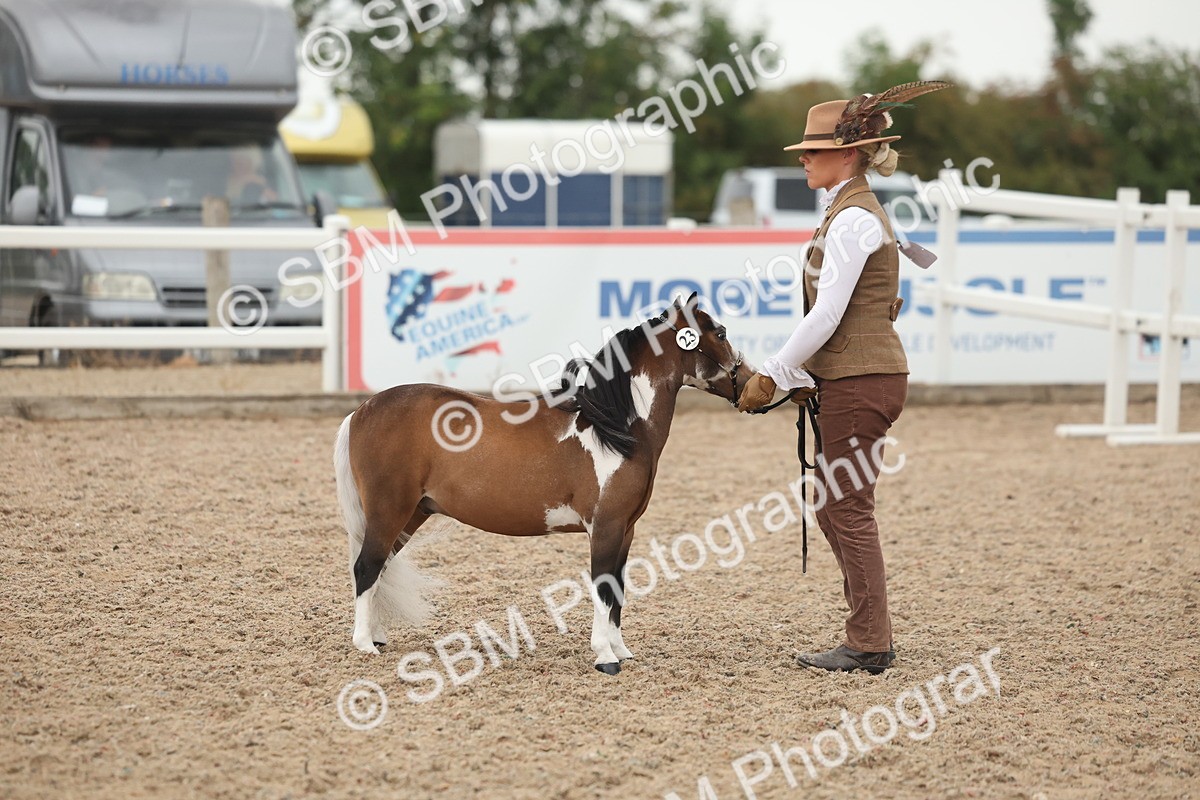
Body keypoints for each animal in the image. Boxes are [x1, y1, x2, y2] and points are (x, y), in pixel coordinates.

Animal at [334, 292, 755, 674]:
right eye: (720, 332)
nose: (755, 385)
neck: (614, 428)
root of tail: (361, 411)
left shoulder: (626, 530)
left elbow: (618, 590)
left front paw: (621, 650)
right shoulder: (605, 527)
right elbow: (603, 586)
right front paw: (605, 657)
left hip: (411, 514)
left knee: (381, 567)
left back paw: (377, 636)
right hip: (390, 511)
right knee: (366, 567)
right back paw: (364, 644)